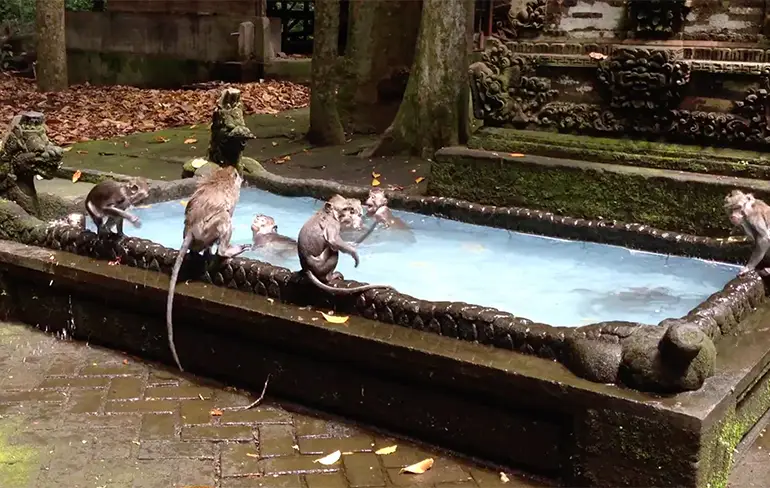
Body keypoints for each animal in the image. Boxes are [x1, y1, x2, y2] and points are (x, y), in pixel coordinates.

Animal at [167, 166, 251, 372]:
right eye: (238, 176)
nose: (243, 179)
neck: (223, 176)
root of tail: (190, 229)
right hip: (209, 229)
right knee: (225, 217)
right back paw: (224, 251)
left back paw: (201, 253)